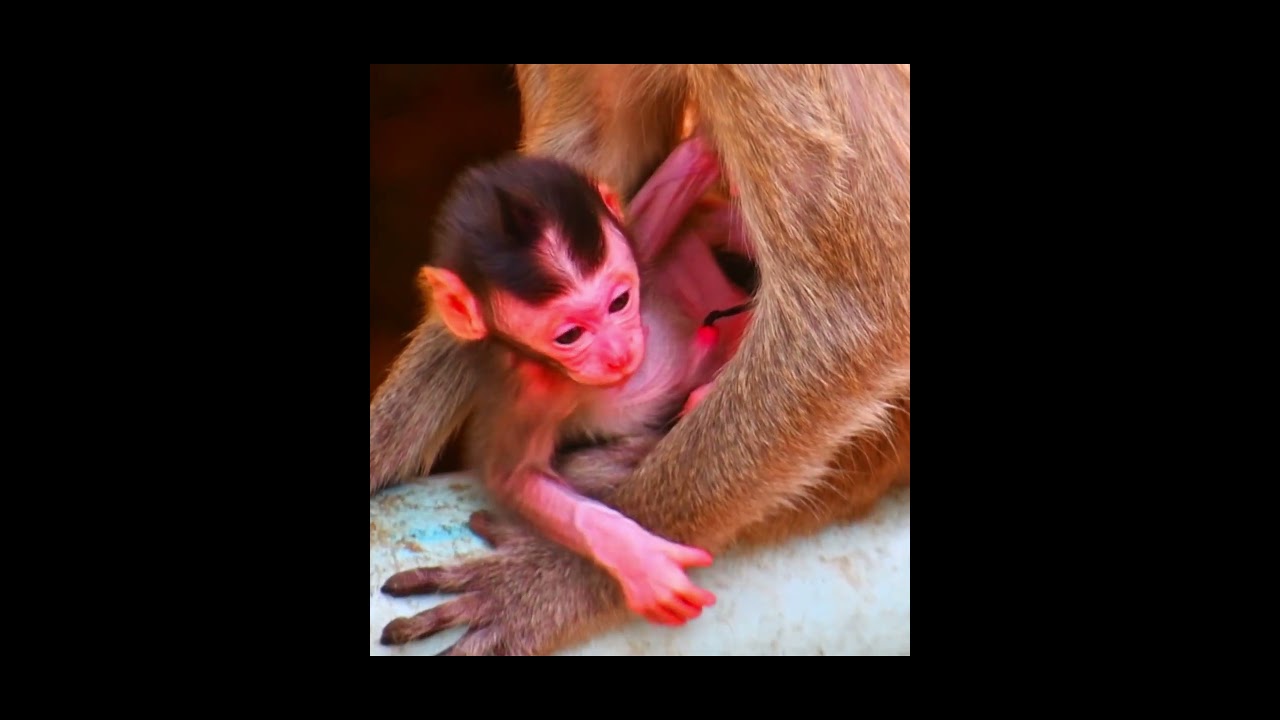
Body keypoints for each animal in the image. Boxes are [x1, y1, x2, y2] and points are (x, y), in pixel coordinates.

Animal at [380, 138, 753, 627]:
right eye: (570, 335)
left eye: (620, 301)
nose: (619, 352)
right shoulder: (532, 389)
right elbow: (518, 477)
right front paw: (635, 558)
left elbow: (646, 232)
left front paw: (701, 152)